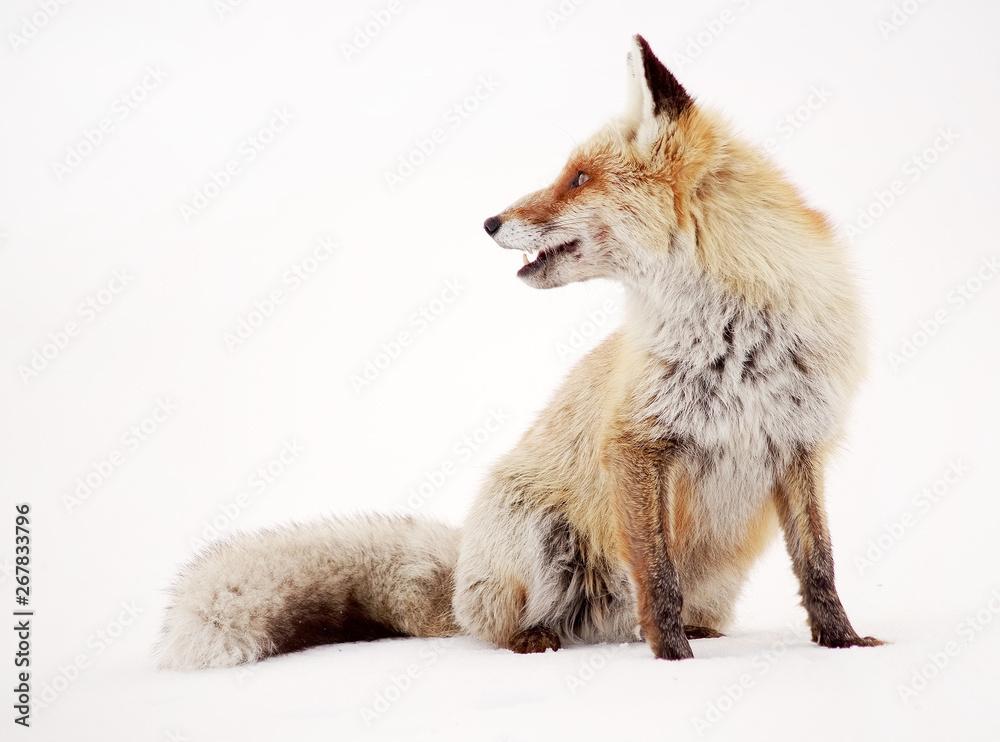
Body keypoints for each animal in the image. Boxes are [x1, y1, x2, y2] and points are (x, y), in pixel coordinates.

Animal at [157, 34, 882, 670]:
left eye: (579, 178)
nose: (488, 222)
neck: (736, 337)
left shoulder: (799, 442)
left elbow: (819, 566)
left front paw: (842, 643)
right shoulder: (637, 441)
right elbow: (658, 577)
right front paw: (674, 659)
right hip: (541, 534)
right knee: (502, 627)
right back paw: (537, 640)